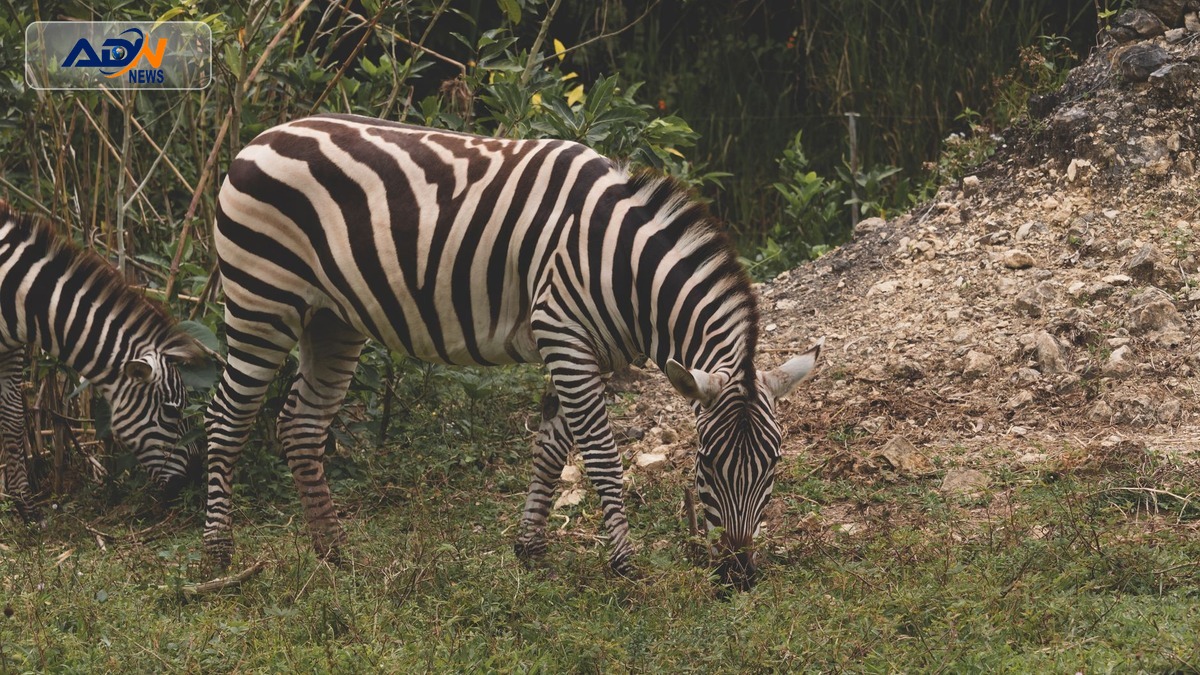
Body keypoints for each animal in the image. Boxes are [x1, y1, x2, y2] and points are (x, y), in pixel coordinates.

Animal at [0, 201, 205, 521]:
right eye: (171, 412)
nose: (196, 477)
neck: (21, 293)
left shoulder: (12, 349)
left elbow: (11, 417)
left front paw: (25, 505)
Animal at [204, 113, 821, 588]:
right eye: (707, 462)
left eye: (773, 465)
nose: (739, 577)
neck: (625, 269)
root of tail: (261, 137)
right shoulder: (564, 334)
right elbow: (601, 456)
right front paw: (625, 567)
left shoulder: (587, 352)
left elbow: (552, 448)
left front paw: (531, 550)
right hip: (261, 301)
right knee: (225, 419)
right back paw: (217, 559)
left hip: (332, 320)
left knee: (301, 426)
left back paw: (335, 555)